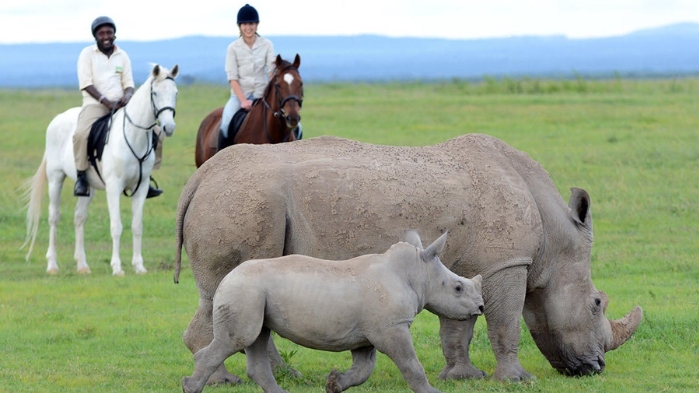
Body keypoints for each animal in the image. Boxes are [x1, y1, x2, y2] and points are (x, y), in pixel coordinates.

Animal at [23, 62, 179, 274]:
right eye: (155, 93)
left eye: (175, 93)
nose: (168, 127)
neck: (133, 136)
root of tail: (58, 118)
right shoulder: (113, 187)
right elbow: (116, 227)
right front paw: (117, 268)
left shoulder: (141, 187)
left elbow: (137, 226)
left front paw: (139, 266)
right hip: (55, 179)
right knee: (54, 217)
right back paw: (52, 265)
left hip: (88, 188)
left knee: (79, 218)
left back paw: (82, 265)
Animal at [183, 230, 484, 392]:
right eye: (458, 288)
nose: (480, 307)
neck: (417, 272)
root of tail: (226, 279)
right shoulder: (392, 327)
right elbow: (411, 364)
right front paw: (432, 391)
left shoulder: (369, 332)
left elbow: (363, 369)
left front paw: (334, 383)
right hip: (244, 291)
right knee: (239, 339)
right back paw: (190, 387)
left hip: (252, 293)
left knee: (257, 338)